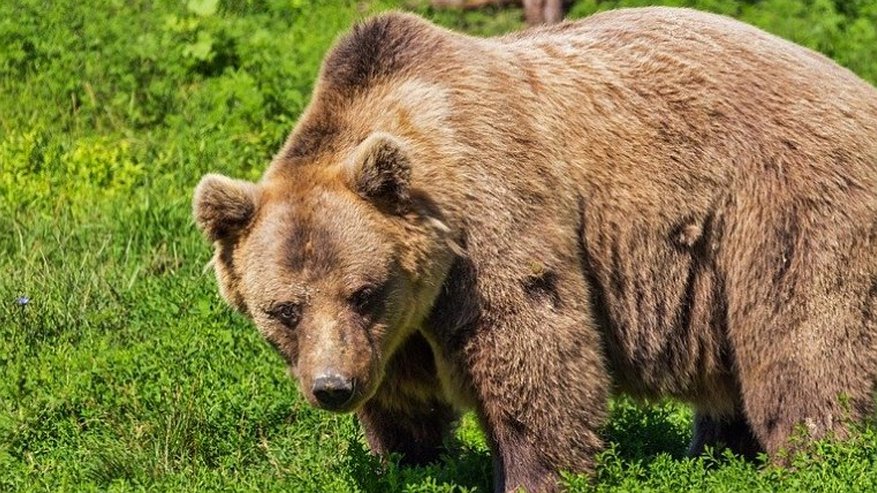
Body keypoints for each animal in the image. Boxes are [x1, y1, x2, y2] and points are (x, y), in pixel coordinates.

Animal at [193, 5, 876, 490]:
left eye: (363, 292)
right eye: (284, 310)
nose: (332, 386)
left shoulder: (492, 213)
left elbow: (531, 347)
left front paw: (532, 473)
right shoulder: (403, 321)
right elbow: (404, 397)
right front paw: (408, 459)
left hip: (786, 207)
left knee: (805, 346)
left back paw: (815, 457)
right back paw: (716, 449)